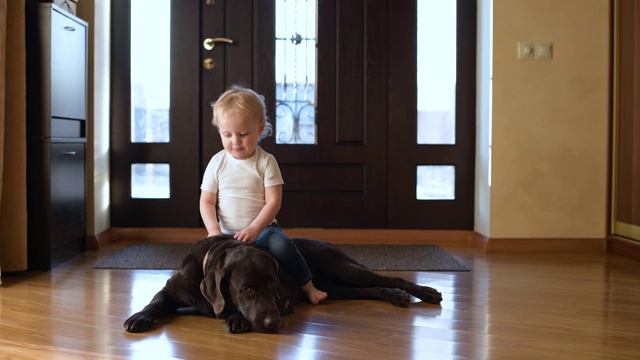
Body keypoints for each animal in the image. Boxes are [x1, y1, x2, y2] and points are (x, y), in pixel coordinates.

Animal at [125, 236, 444, 334]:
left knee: (389, 278)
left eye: (273, 284)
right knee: (372, 289)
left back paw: (423, 292)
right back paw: (396, 296)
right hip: (336, 287)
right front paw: (138, 317)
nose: (273, 322)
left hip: (344, 269)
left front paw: (237, 319)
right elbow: (155, 302)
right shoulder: (170, 291)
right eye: (246, 290)